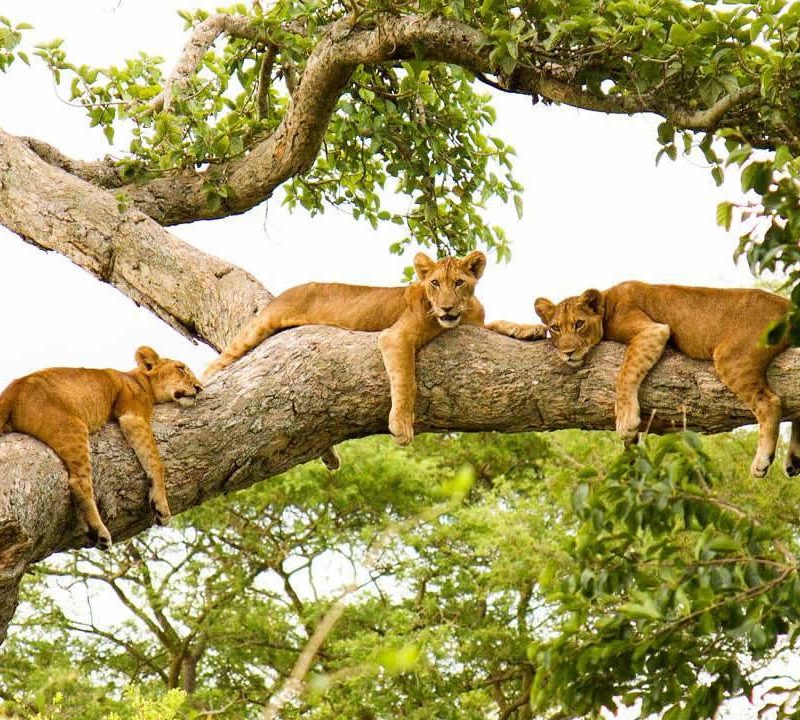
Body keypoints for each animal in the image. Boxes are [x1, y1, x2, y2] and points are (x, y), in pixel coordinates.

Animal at [0, 347, 202, 549]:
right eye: (181, 368)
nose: (200, 388)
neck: (139, 380)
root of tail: (11, 390)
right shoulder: (133, 415)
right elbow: (156, 462)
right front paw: (161, 507)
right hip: (73, 427)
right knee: (78, 482)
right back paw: (99, 532)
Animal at [203, 250, 546, 467]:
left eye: (459, 282)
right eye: (435, 283)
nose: (446, 308)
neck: (463, 314)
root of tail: (287, 291)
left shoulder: (477, 325)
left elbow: (500, 323)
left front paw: (531, 330)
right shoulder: (396, 337)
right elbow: (406, 381)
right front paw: (401, 425)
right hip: (259, 328)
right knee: (215, 365)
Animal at [529, 281, 795, 478]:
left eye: (579, 323)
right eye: (555, 328)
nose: (568, 353)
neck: (607, 302)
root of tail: (787, 305)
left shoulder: (652, 330)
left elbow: (625, 373)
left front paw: (626, 420)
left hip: (732, 357)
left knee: (770, 403)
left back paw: (762, 461)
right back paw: (793, 460)